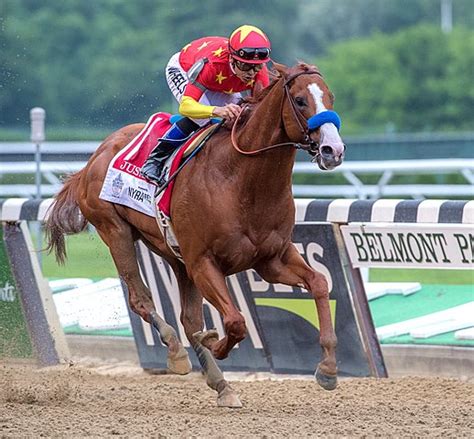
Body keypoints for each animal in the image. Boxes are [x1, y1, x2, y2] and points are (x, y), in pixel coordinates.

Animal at [45, 62, 344, 410]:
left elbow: (319, 283)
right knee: (142, 300)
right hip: (115, 231)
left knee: (187, 319)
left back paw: (222, 385)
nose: (333, 150)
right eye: (299, 100)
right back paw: (176, 352)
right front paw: (214, 342)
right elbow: (235, 322)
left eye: (331, 97)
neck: (243, 181)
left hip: (176, 257)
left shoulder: (272, 258)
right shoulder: (203, 262)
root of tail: (96, 156)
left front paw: (328, 368)